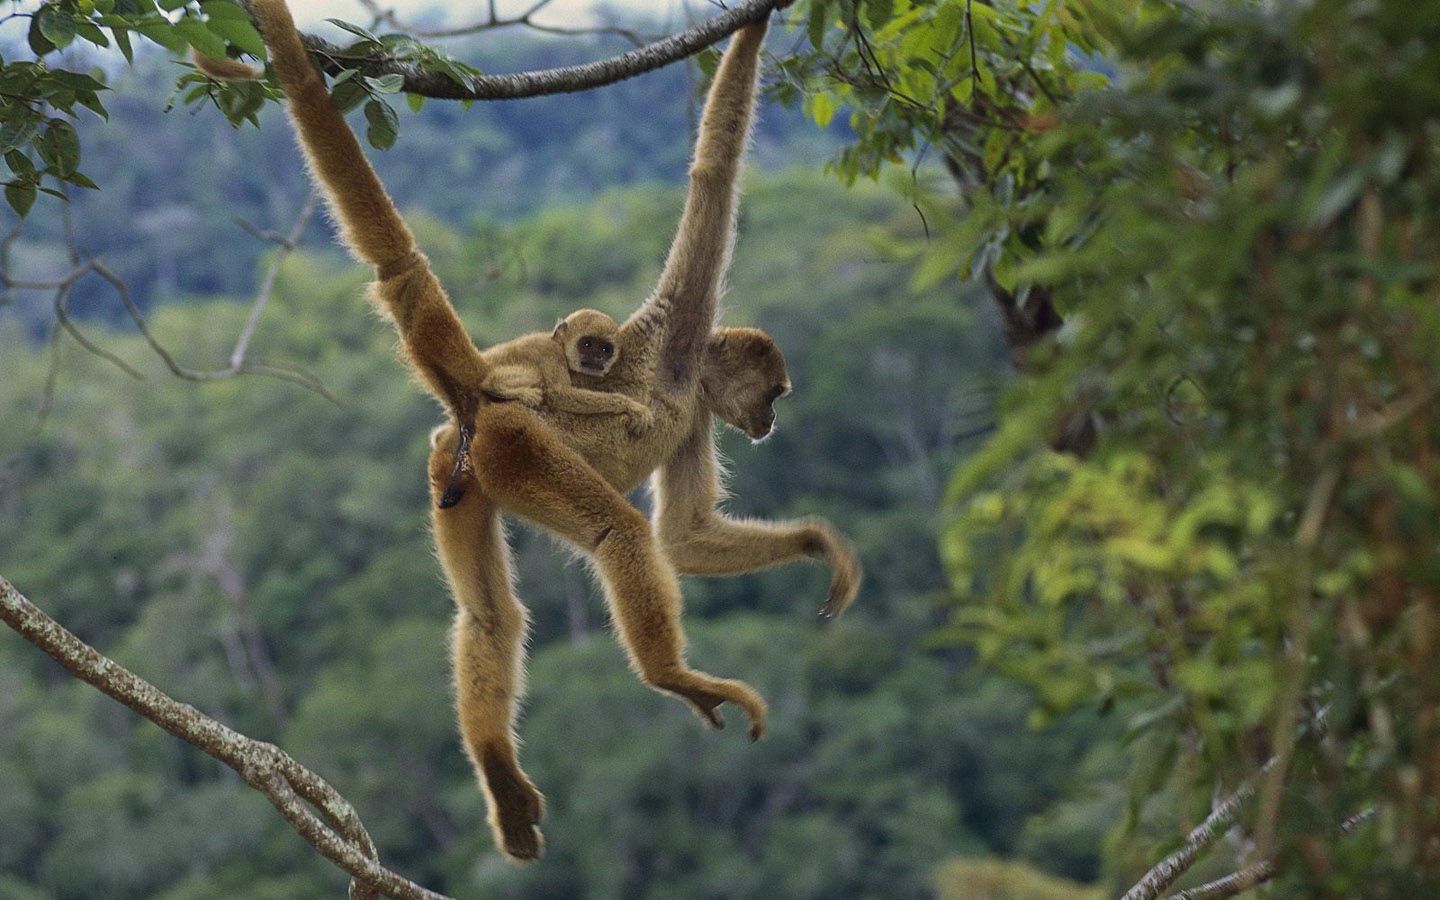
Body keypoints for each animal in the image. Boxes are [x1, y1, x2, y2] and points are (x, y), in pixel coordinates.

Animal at [234, 0, 852, 858]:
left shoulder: (694, 416)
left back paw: (499, 768)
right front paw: (754, 28)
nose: (768, 422)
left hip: (458, 473)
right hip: (522, 450)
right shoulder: (681, 331)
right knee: (620, 533)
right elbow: (714, 172)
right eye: (777, 392)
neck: (688, 377)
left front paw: (817, 544)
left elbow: (689, 535)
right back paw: (673, 678)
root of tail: (479, 401)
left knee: (491, 617)